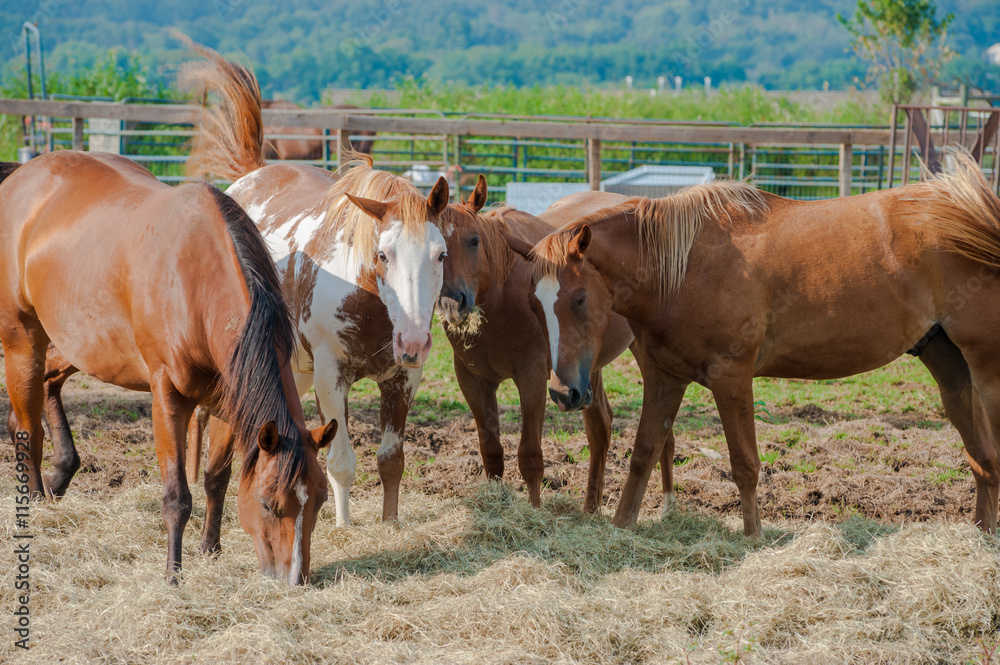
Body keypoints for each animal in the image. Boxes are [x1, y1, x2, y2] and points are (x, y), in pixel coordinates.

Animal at [0, 152, 336, 580]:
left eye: (320, 500)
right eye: (268, 503)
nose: (296, 581)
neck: (197, 281)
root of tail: (22, 175)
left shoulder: (231, 402)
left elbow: (217, 478)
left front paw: (210, 547)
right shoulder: (168, 399)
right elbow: (177, 495)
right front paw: (173, 575)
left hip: (84, 345)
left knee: (47, 385)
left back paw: (59, 474)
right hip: (23, 339)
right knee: (27, 428)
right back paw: (35, 502)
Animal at [438, 185, 632, 508]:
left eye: (474, 241)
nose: (453, 303)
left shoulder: (532, 378)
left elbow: (530, 457)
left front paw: (535, 510)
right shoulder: (472, 381)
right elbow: (491, 452)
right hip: (587, 368)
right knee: (600, 428)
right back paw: (590, 510)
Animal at [520, 158, 1000, 536]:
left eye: (579, 298)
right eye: (535, 303)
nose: (564, 392)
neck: (684, 266)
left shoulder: (731, 377)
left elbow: (745, 465)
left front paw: (753, 539)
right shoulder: (665, 378)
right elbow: (643, 454)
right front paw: (621, 527)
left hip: (987, 371)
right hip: (950, 368)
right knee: (984, 460)